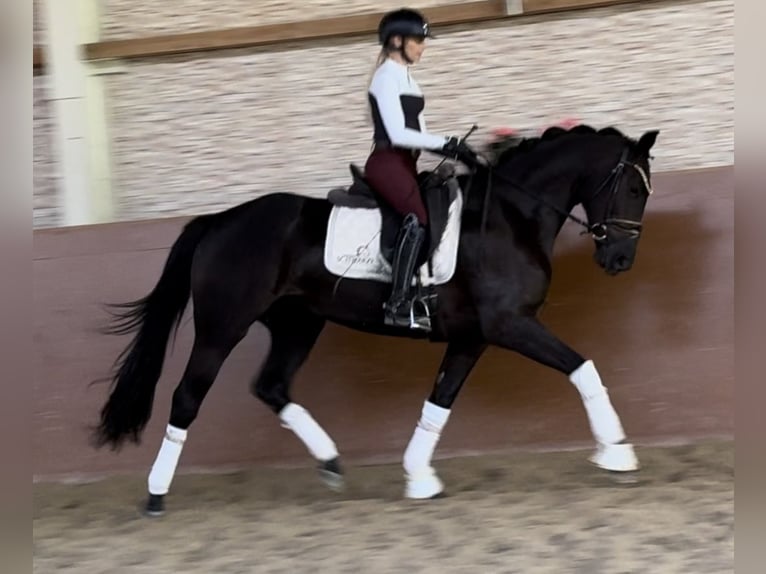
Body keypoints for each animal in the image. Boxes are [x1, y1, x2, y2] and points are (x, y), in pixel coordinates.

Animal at [93, 124, 660, 516]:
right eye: (634, 191)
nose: (621, 261)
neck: (510, 217)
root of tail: (220, 221)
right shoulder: (509, 326)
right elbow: (583, 368)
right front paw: (618, 454)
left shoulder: (472, 338)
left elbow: (439, 402)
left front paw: (419, 477)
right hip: (222, 328)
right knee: (186, 398)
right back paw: (156, 495)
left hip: (298, 324)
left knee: (272, 386)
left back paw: (330, 463)